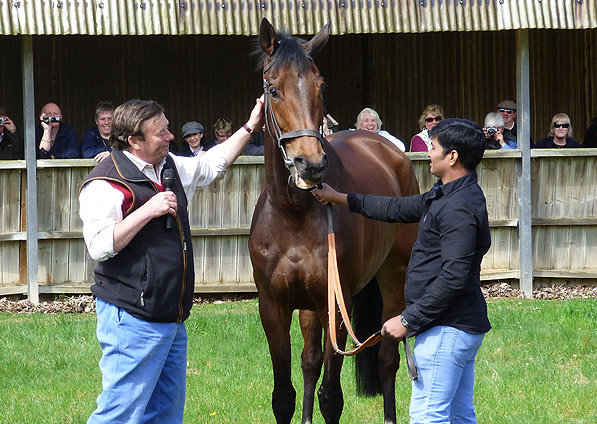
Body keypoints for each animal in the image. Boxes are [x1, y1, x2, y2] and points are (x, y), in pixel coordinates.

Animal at [249, 18, 416, 422]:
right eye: (273, 89)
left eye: (320, 86)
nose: (310, 164)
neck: (292, 214)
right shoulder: (273, 309)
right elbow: (284, 396)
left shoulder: (336, 308)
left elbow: (331, 396)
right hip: (310, 306)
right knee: (310, 362)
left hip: (393, 279)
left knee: (387, 360)